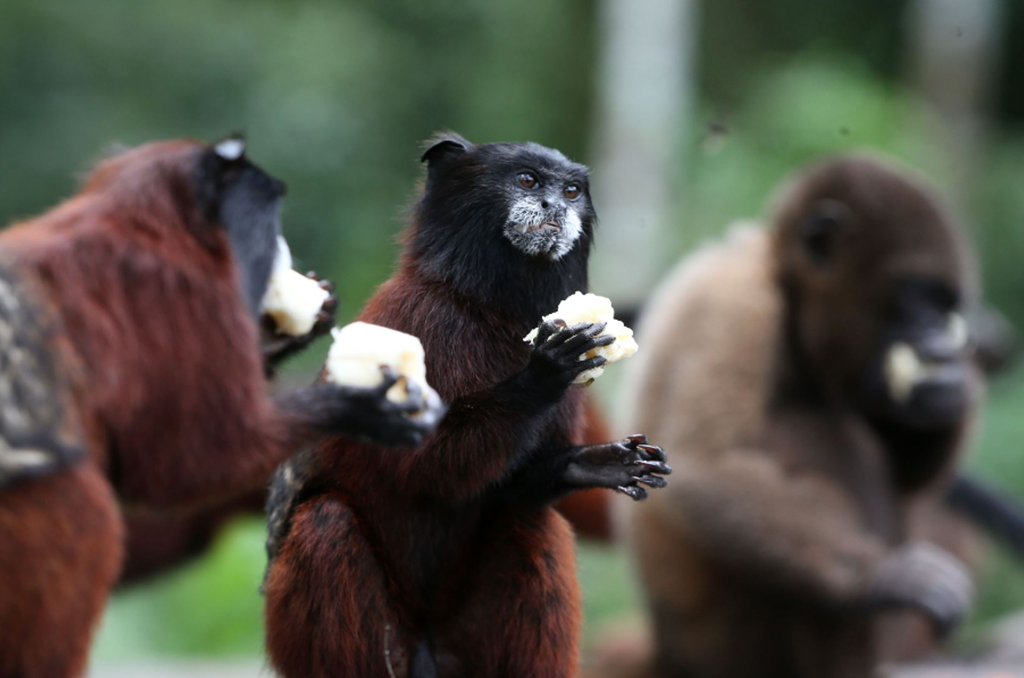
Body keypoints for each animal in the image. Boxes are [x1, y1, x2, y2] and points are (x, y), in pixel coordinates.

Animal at [0, 139, 440, 678]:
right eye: (269, 223)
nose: (282, 250)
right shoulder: (178, 291)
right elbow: (185, 467)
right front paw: (355, 407)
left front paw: (283, 333)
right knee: (87, 516)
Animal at [262, 134, 671, 678]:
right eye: (528, 181)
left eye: (570, 191)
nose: (555, 208)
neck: (485, 308)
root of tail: (427, 647)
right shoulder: (419, 322)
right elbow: (424, 467)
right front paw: (543, 373)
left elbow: (510, 486)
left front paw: (598, 464)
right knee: (325, 524)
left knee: (527, 518)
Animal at [602, 156, 987, 678]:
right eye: (915, 296)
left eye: (942, 305)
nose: (934, 335)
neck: (784, 288)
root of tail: (670, 653)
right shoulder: (736, 306)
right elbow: (708, 463)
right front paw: (886, 577)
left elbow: (911, 473)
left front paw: (945, 388)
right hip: (733, 644)